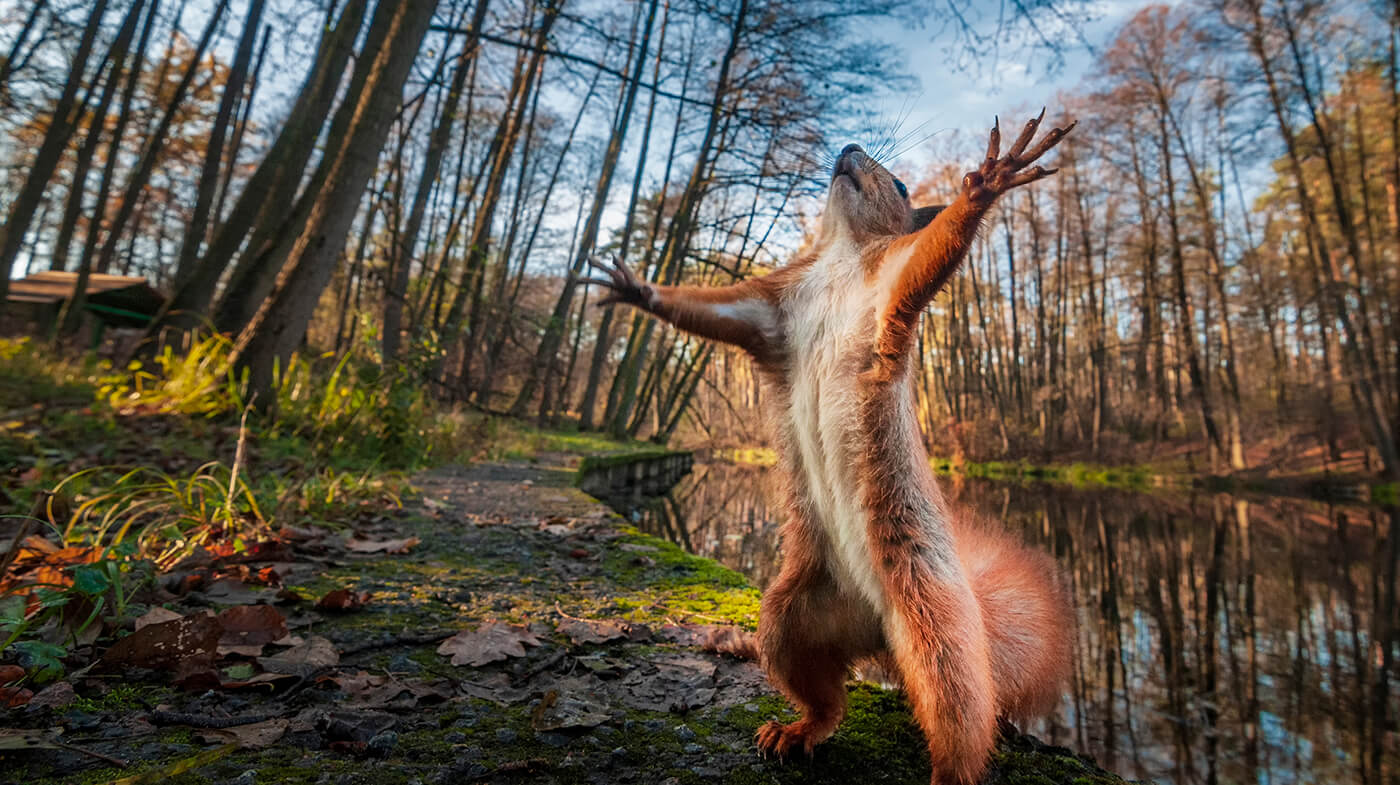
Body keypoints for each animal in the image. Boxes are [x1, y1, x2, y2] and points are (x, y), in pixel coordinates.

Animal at [585, 111, 1075, 783]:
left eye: (900, 184)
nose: (848, 147)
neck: (841, 254)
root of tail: (878, 635)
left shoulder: (892, 284)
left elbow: (934, 253)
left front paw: (987, 182)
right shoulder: (771, 313)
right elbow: (710, 312)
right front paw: (639, 290)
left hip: (937, 624)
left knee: (959, 715)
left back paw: (946, 768)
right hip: (792, 617)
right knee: (826, 696)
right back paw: (797, 731)